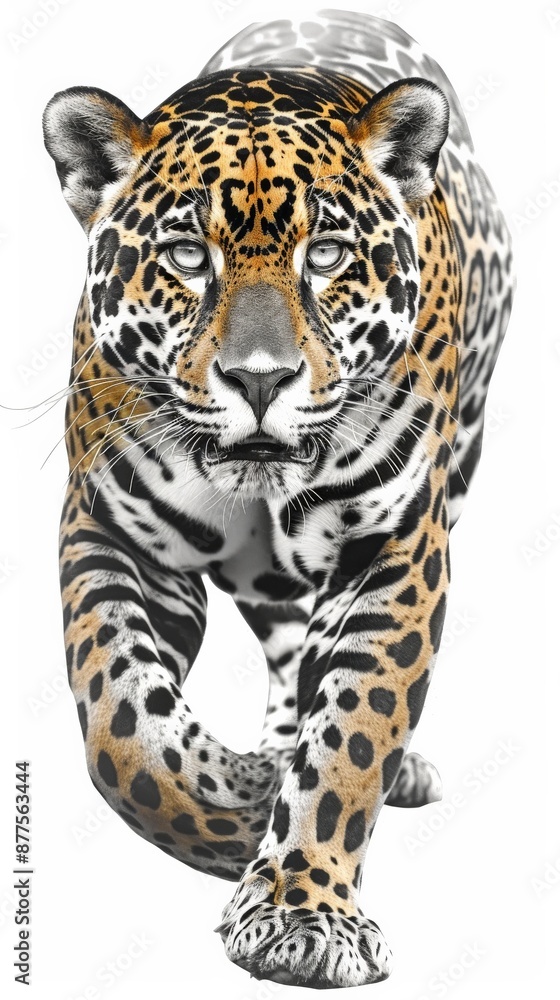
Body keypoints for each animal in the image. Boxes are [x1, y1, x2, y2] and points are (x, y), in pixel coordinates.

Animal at [42, 8, 514, 989]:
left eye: (326, 255)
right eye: (188, 257)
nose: (260, 379)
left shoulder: (396, 550)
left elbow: (355, 733)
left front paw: (304, 911)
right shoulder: (113, 533)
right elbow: (121, 725)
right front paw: (236, 816)